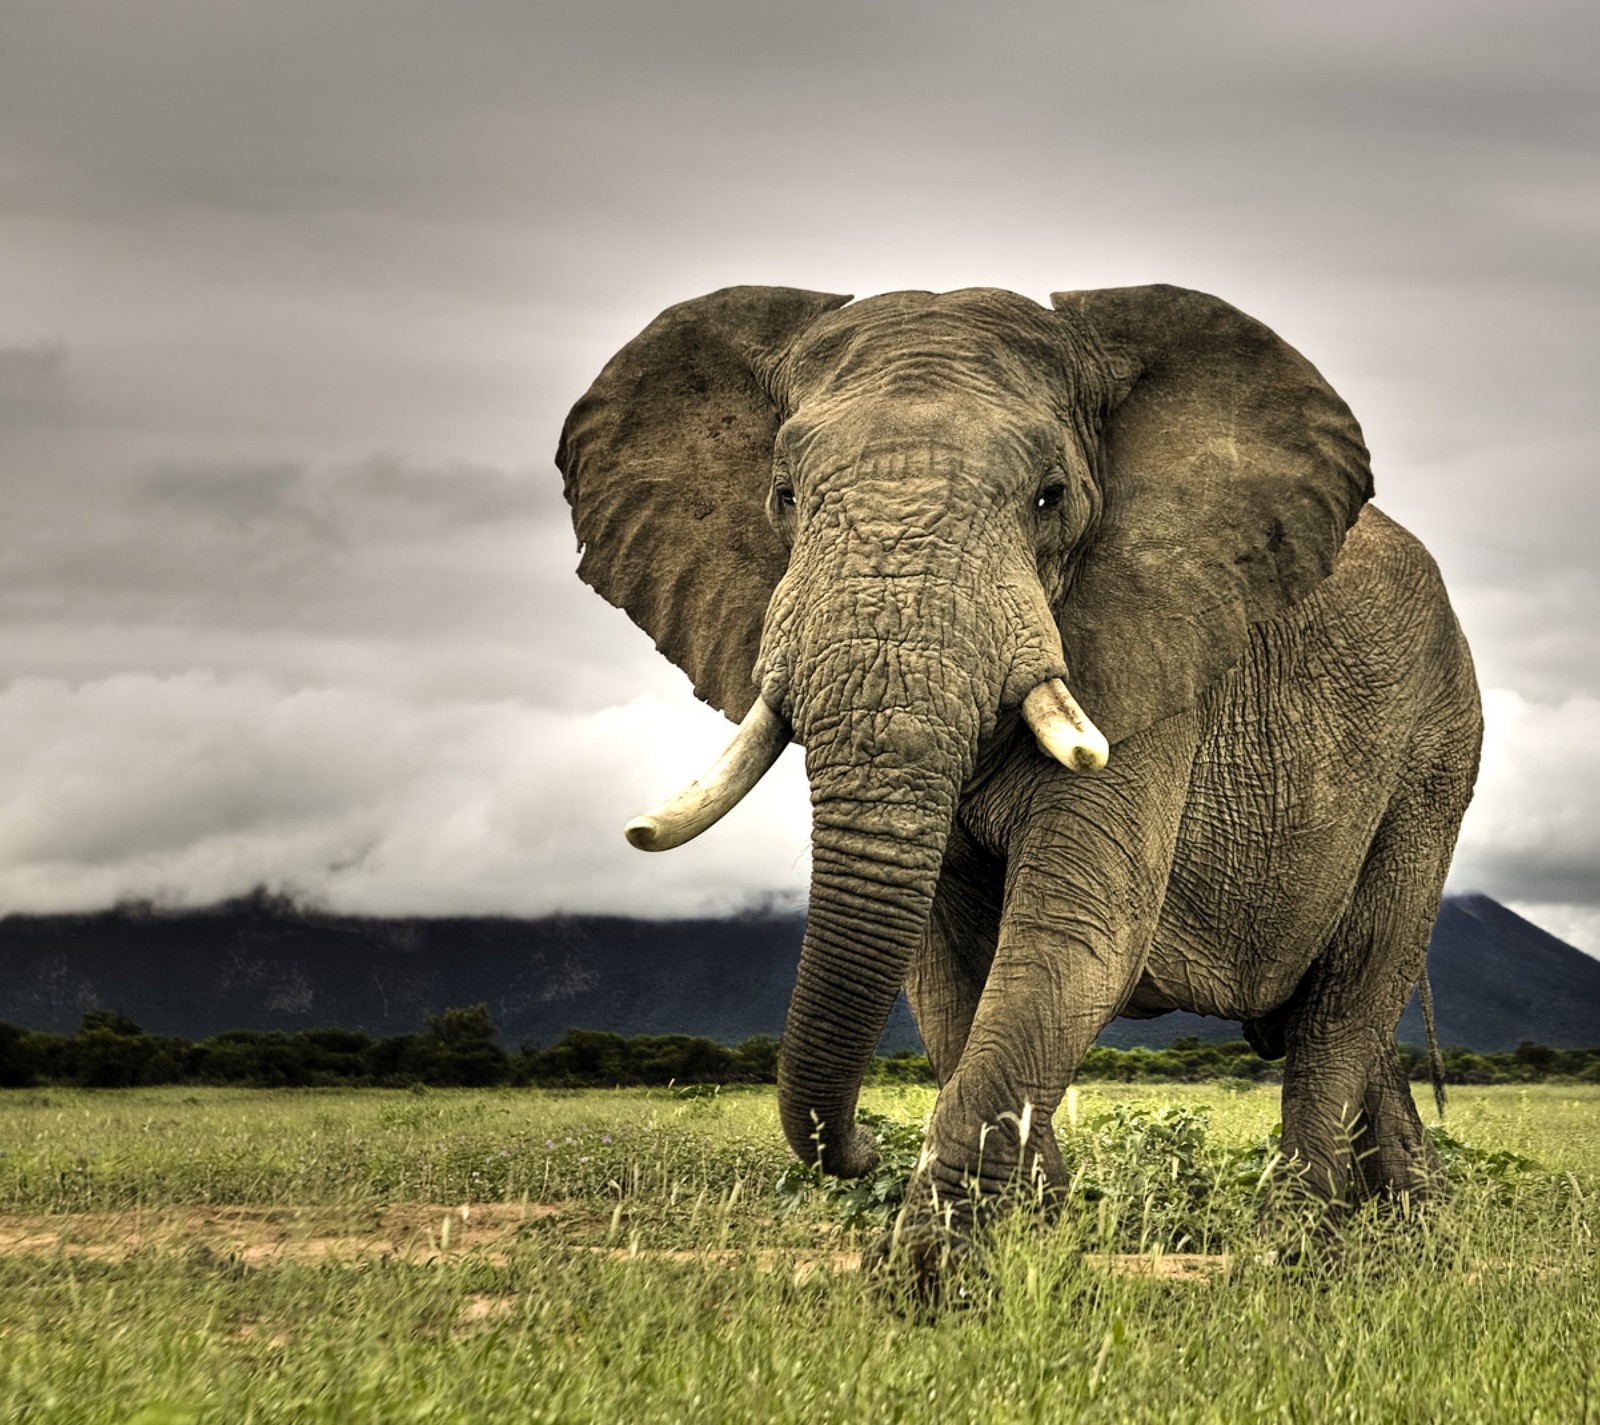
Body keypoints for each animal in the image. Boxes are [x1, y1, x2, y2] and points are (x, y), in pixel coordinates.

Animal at [556, 281, 1478, 1273]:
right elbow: (945, 970)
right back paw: (1416, 1227)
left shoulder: (1151, 661)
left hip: (1435, 753)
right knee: (1349, 1025)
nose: (862, 1144)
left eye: (1050, 496)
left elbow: (1074, 935)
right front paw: (1037, 1239)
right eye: (784, 495)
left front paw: (931, 1278)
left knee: (1345, 1002)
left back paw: (1296, 1254)